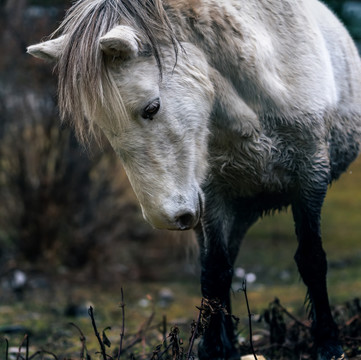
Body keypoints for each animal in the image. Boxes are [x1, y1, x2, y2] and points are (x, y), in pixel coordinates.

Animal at [28, 1, 360, 358]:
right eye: (104, 125)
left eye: (152, 107)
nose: (166, 217)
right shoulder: (212, 195)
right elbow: (214, 271)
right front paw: (215, 347)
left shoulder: (311, 177)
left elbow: (312, 259)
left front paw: (328, 341)